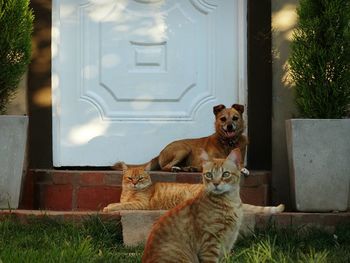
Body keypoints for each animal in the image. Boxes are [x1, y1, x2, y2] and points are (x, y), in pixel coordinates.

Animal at [113, 104, 247, 174]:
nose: (229, 126)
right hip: (183, 149)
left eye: (235, 118)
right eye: (223, 119)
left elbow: (238, 164)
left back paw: (188, 168)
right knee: (165, 167)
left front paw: (243, 169)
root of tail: (159, 153)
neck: (227, 143)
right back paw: (176, 168)